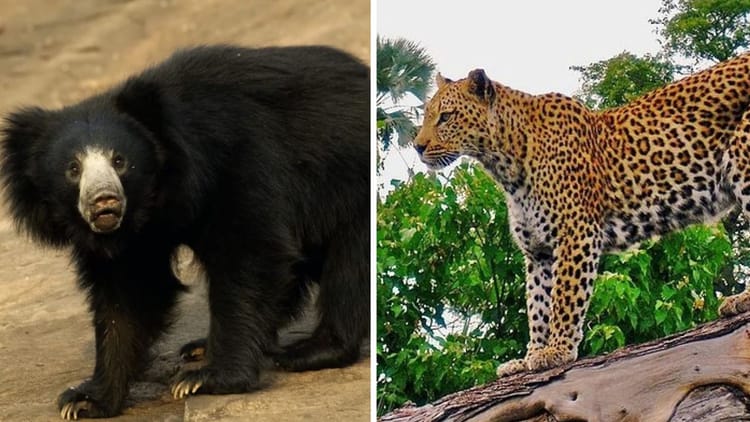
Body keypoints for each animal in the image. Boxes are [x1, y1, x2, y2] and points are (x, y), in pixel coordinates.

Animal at [0, 45, 370, 419]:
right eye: (73, 168)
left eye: (120, 161)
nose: (105, 201)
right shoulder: (135, 236)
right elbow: (130, 293)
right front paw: (85, 399)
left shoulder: (241, 161)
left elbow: (247, 254)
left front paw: (205, 379)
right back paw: (202, 346)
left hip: (351, 187)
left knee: (350, 266)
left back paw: (310, 350)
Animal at [413, 52, 750, 378]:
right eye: (427, 115)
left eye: (446, 117)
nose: (417, 147)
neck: (506, 162)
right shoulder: (538, 252)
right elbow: (537, 306)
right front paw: (529, 357)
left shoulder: (576, 233)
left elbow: (565, 296)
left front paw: (557, 350)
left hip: (743, 165)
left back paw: (742, 300)